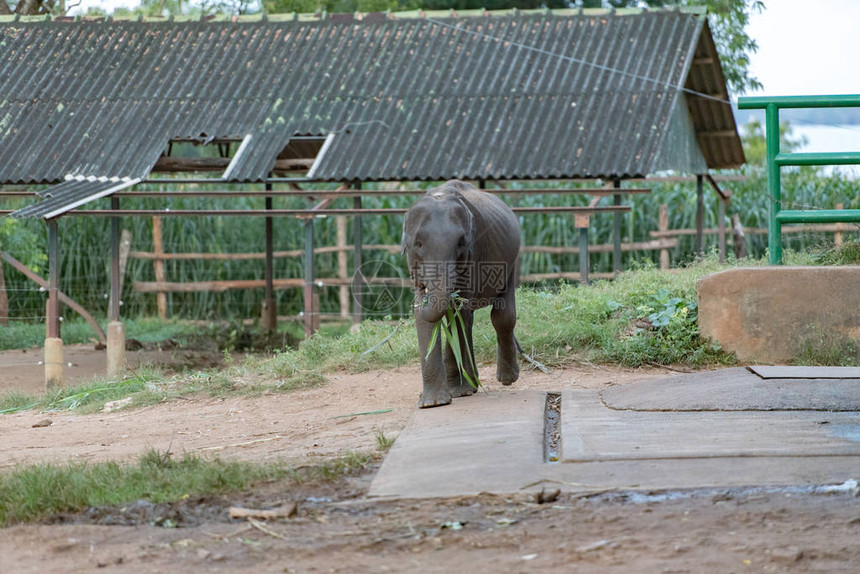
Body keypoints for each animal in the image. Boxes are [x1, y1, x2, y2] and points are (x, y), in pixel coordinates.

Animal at [402, 181, 520, 410]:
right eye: (418, 243)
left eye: (460, 243)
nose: (423, 289)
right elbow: (427, 315)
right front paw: (432, 404)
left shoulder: (474, 253)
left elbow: (457, 314)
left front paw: (456, 392)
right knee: (470, 321)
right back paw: (471, 384)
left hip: (511, 262)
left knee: (502, 315)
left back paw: (505, 379)